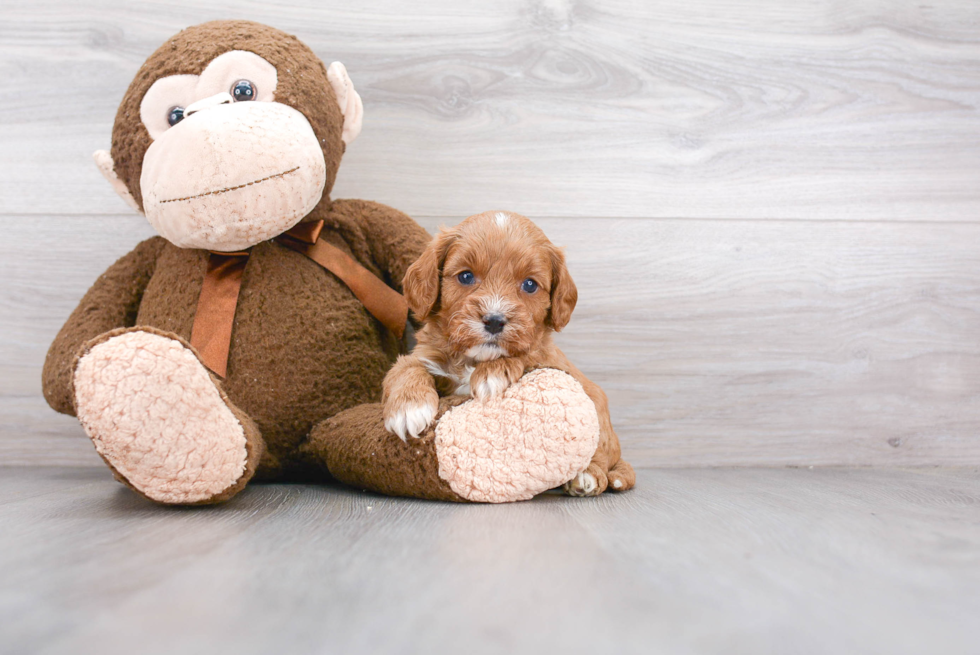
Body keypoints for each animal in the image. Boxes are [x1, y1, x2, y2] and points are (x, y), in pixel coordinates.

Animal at [382, 210, 636, 498]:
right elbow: (405, 366)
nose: (494, 321)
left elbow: (527, 352)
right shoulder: (426, 354)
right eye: (466, 276)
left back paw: (587, 476)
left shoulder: (546, 357)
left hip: (597, 408)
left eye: (529, 285)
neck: (474, 358)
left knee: (601, 458)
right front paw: (408, 408)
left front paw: (492, 374)